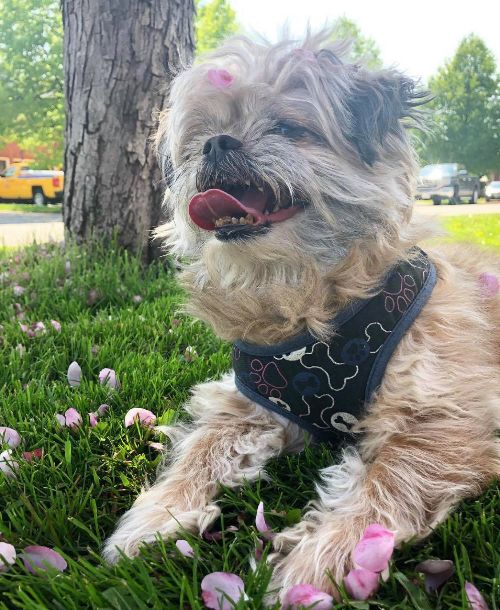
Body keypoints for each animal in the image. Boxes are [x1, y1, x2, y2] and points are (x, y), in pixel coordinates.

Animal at [102, 33, 500, 600]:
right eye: (200, 136)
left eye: (289, 129)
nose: (215, 143)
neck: (312, 305)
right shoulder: (249, 405)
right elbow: (200, 451)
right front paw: (154, 519)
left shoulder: (443, 424)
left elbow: (388, 485)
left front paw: (318, 562)